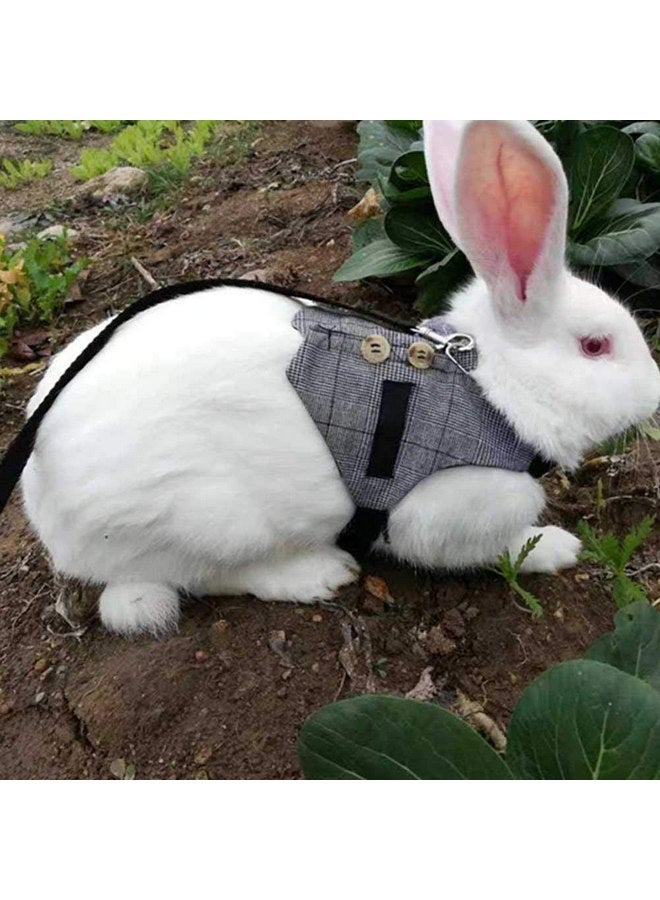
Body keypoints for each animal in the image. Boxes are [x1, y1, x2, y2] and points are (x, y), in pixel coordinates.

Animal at [20, 120, 660, 636]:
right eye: (595, 346)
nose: (656, 389)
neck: (490, 390)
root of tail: (43, 504)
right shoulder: (445, 512)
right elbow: (491, 549)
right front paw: (558, 548)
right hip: (207, 522)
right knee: (209, 576)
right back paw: (318, 574)